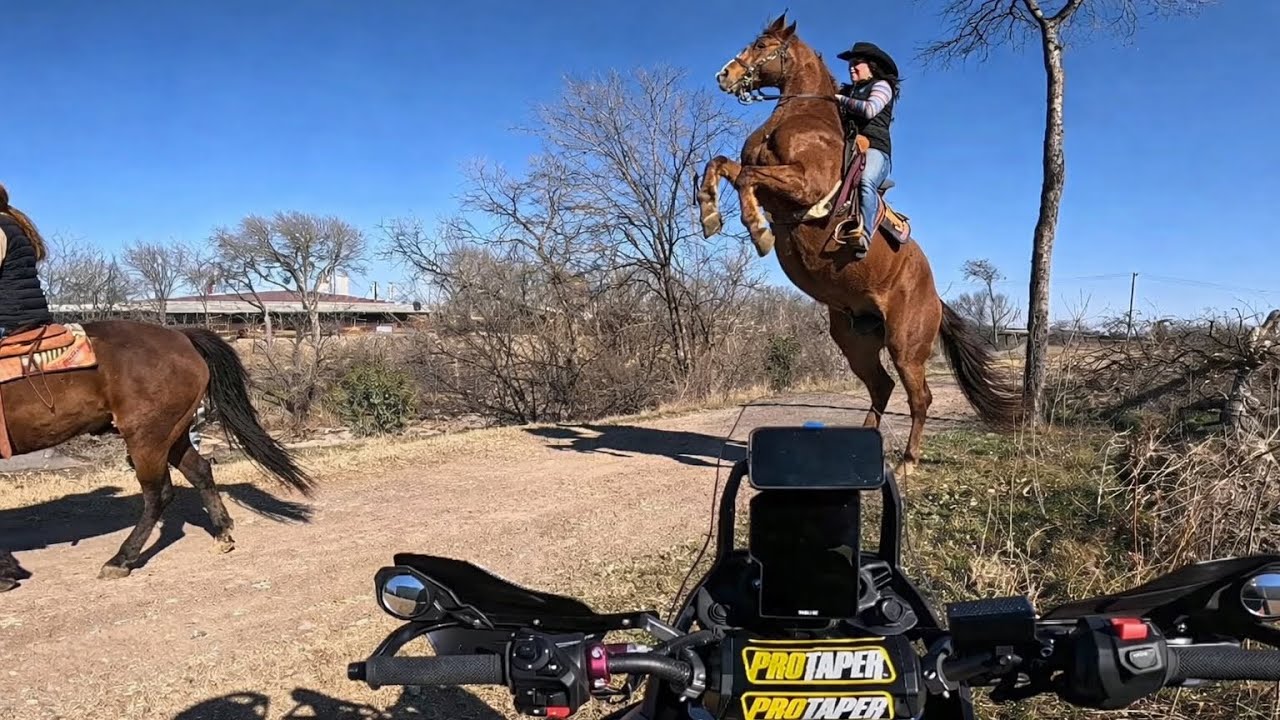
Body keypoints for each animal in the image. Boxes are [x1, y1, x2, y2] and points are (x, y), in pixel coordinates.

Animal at [0, 319, 313, 591]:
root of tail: (181, 337)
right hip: (173, 435)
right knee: (200, 471)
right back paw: (222, 532)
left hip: (147, 437)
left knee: (157, 495)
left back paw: (121, 559)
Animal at [698, 13, 1023, 475]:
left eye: (762, 45)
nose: (724, 75)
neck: (801, 116)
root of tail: (936, 298)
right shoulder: (761, 174)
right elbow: (722, 164)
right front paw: (709, 212)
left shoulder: (802, 184)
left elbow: (746, 178)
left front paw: (757, 229)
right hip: (854, 340)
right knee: (882, 387)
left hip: (906, 345)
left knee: (918, 397)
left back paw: (908, 462)